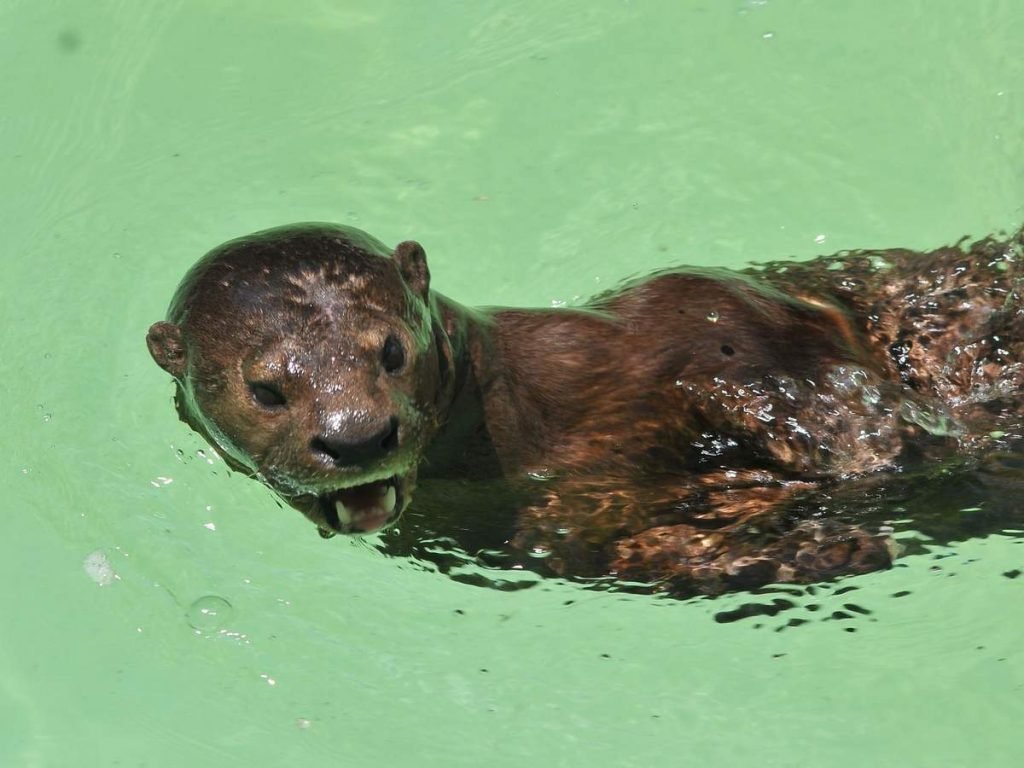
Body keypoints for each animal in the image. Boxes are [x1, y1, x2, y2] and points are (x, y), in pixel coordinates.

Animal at [148, 222, 1024, 593]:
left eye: (390, 350)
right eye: (267, 389)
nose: (358, 437)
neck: (516, 425)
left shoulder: (677, 319)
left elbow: (728, 318)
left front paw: (846, 433)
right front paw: (813, 549)